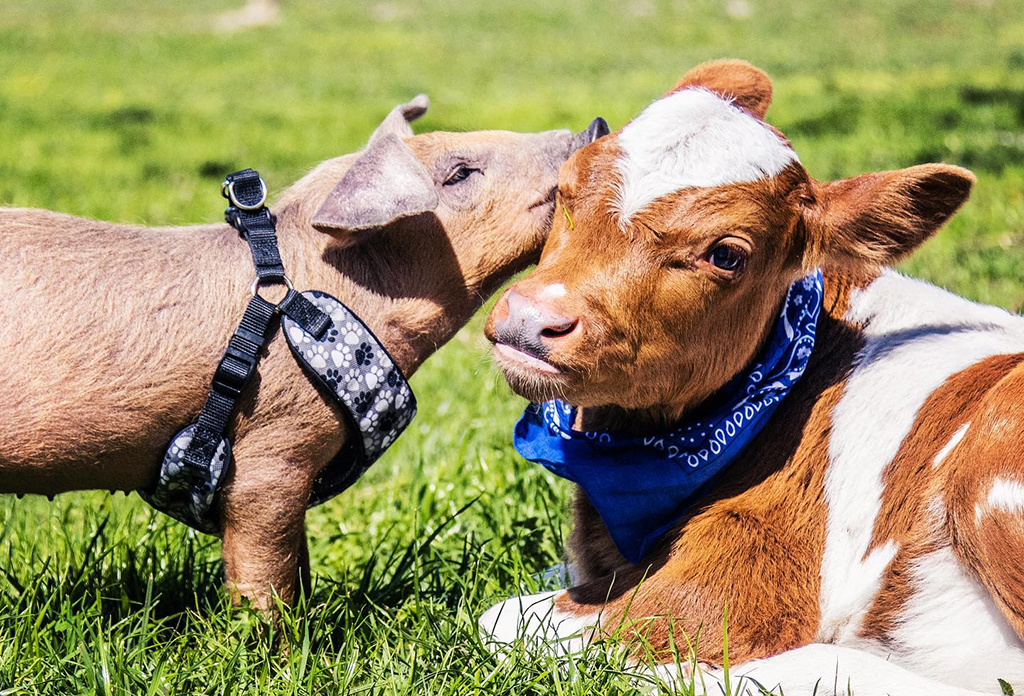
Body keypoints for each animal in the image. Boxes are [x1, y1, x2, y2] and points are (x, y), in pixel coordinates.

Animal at [0, 96, 606, 610]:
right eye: (459, 173)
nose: (595, 126)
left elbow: (297, 559)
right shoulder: (272, 449)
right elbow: (265, 567)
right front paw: (276, 648)